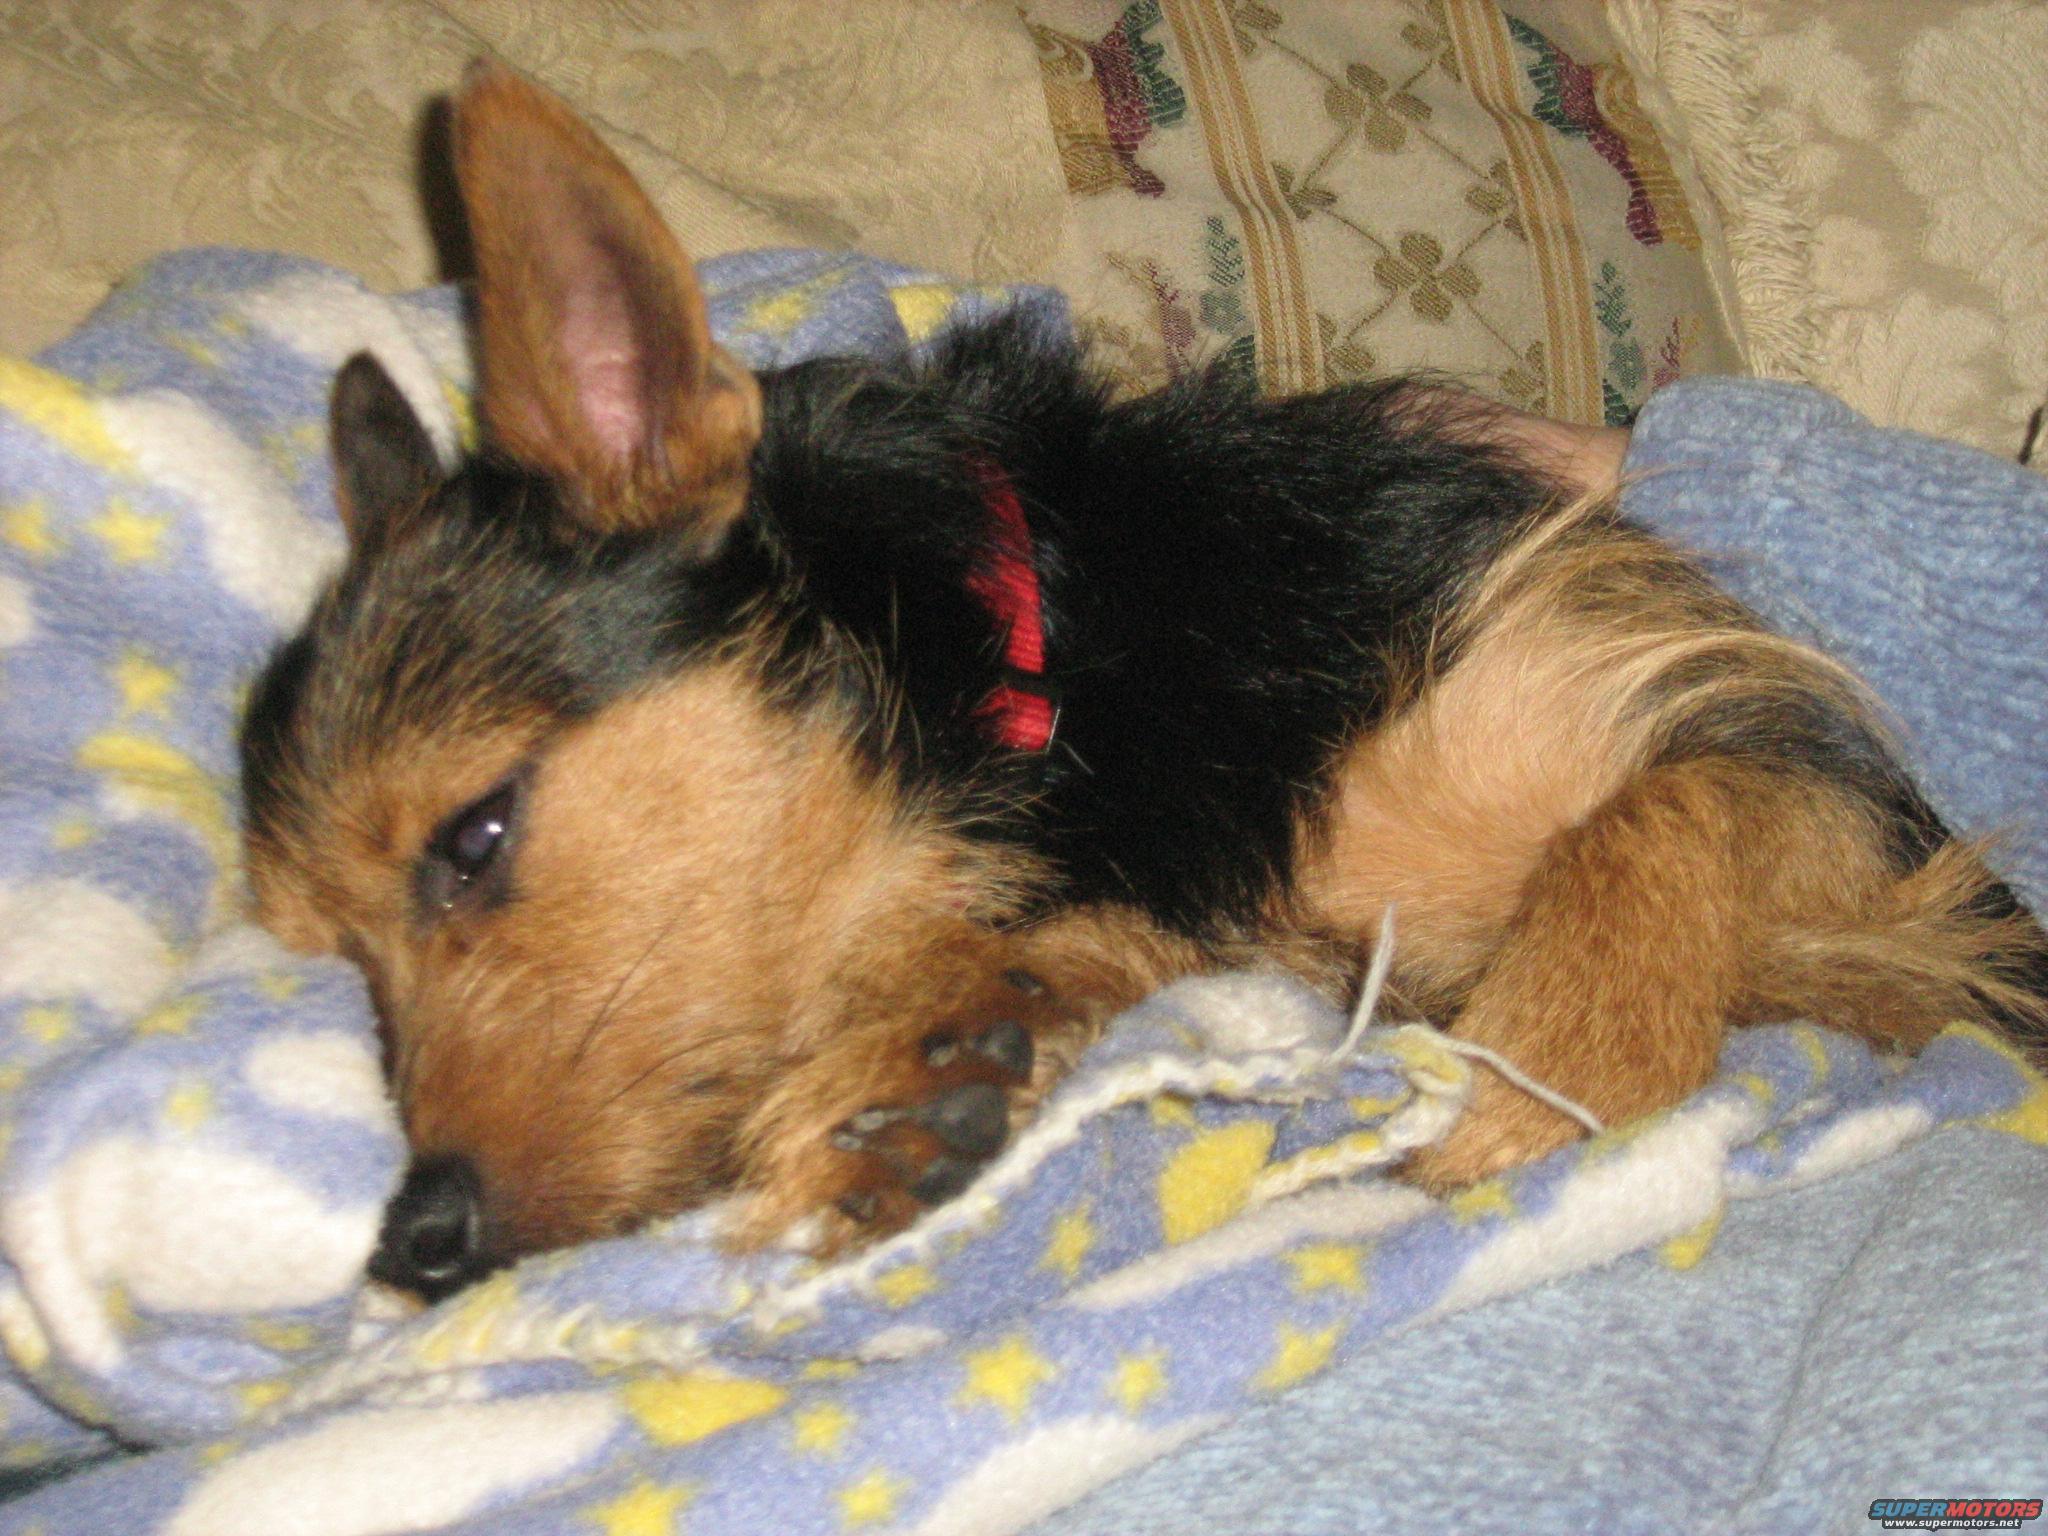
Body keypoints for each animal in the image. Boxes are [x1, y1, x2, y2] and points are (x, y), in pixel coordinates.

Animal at [240, 65, 2047, 1301]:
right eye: (326, 954)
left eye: (471, 838)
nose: (413, 1243)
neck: (1075, 670)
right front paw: (926, 1054)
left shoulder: (1821, 795)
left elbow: (1655, 819)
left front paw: (1553, 1080)